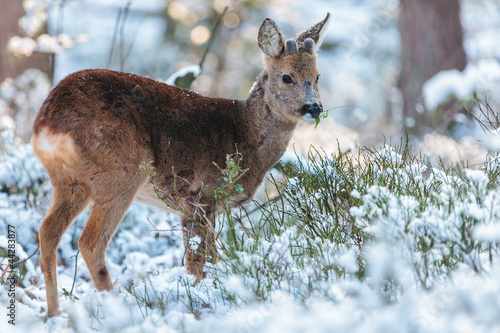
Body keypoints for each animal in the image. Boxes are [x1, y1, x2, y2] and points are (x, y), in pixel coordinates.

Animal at [30, 13, 328, 316]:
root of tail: (48, 122)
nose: (314, 108)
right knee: (90, 242)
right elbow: (198, 259)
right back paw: (115, 306)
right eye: (287, 77)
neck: (245, 134)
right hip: (119, 172)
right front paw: (201, 298)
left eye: (317, 76)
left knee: (48, 231)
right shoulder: (199, 193)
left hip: (70, 181)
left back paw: (54, 312)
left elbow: (207, 256)